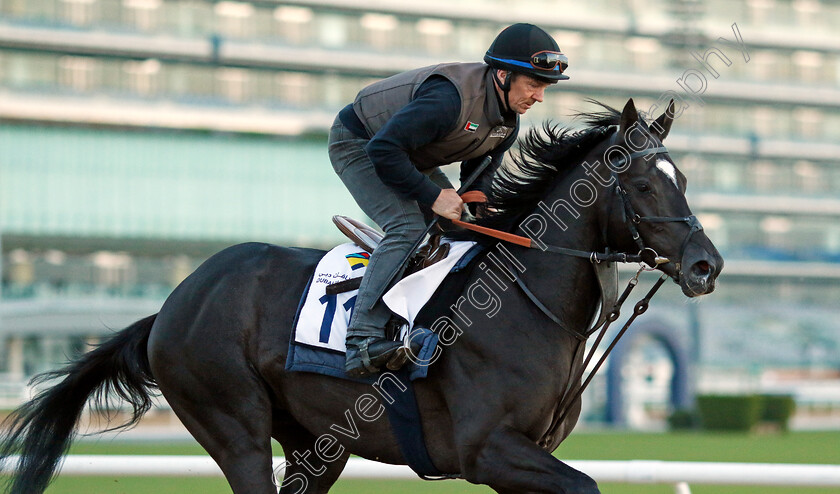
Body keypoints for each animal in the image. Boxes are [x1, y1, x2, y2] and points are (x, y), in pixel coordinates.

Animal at [0, 98, 720, 492]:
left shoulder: (526, 456)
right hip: (231, 422)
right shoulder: (489, 451)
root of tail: (172, 305)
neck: (525, 305)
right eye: (646, 185)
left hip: (316, 445)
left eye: (682, 178)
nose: (707, 264)